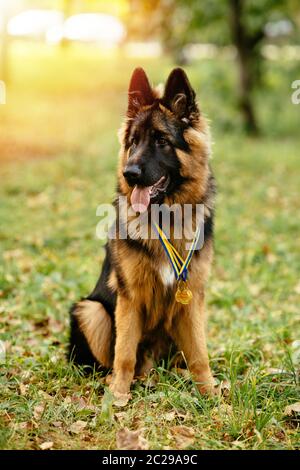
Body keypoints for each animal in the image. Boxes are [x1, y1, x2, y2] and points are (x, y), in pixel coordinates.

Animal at [69, 68, 216, 402]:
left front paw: (212, 395)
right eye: (133, 142)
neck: (166, 218)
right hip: (90, 310)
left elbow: (200, 354)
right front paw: (117, 396)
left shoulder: (192, 298)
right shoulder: (130, 299)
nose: (130, 173)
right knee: (111, 359)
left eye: (161, 141)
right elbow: (124, 353)